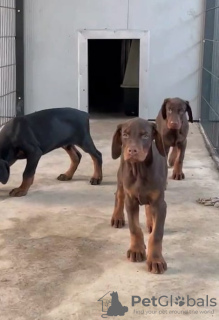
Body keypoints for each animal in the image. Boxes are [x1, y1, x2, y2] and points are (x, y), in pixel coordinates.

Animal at [111, 119, 168, 274]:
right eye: (125, 135)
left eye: (145, 136)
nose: (132, 151)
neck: (140, 170)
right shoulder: (130, 202)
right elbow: (134, 228)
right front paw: (137, 249)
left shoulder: (160, 204)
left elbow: (157, 234)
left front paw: (155, 259)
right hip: (121, 177)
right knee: (119, 195)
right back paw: (117, 217)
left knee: (148, 208)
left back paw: (150, 222)